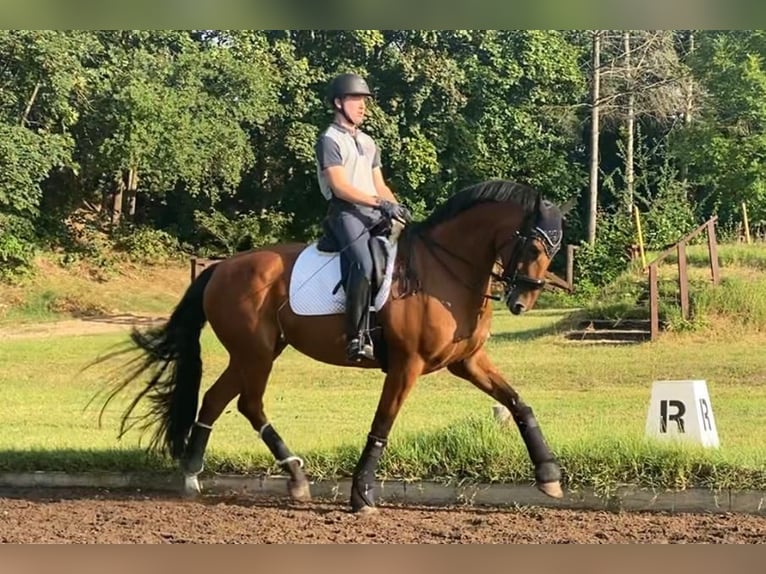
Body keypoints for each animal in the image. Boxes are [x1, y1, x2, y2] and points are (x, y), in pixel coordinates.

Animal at [96, 178, 572, 516]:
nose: (521, 302)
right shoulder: (407, 365)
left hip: (254, 353)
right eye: (533, 244)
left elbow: (518, 402)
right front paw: (361, 495)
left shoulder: (467, 361)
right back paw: (289, 474)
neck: (445, 271)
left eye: (554, 248)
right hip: (256, 352)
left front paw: (548, 474)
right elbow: (382, 424)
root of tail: (221, 267)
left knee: (217, 400)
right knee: (249, 403)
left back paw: (199, 476)